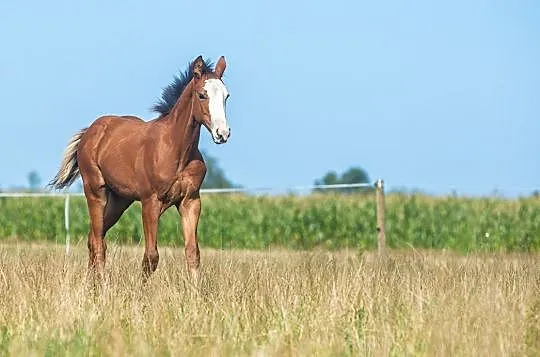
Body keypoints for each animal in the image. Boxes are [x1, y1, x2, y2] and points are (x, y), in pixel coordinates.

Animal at [51, 55, 234, 280]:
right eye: (202, 95)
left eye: (226, 96)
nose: (222, 133)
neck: (176, 150)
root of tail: (90, 131)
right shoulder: (150, 202)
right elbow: (151, 256)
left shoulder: (190, 201)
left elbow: (193, 253)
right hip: (96, 192)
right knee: (97, 241)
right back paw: (102, 284)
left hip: (120, 200)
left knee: (94, 238)